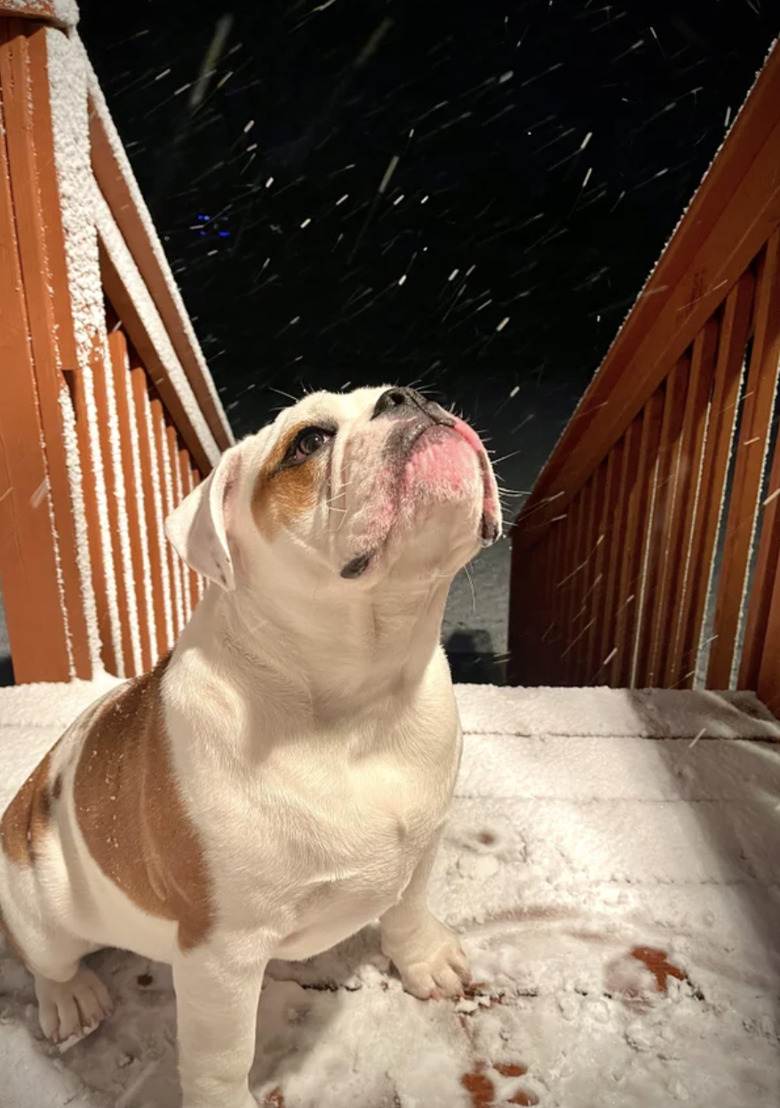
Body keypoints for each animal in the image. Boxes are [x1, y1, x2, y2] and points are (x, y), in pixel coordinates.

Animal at [0, 385, 500, 1103]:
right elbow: (222, 1055)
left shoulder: (424, 842)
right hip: (37, 903)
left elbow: (409, 907)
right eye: (309, 442)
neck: (364, 697)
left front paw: (425, 960)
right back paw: (70, 999)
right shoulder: (221, 952)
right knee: (45, 957)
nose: (405, 397)